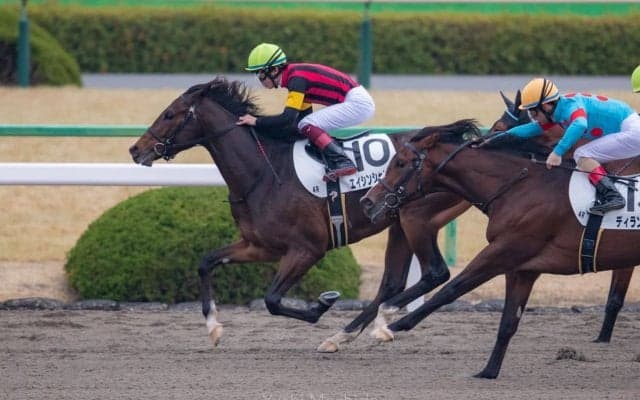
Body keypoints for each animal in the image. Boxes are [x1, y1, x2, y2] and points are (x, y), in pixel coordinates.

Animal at [128, 76, 470, 350]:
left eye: (169, 114)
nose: (135, 149)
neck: (265, 173)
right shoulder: (259, 246)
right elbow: (206, 262)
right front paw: (213, 327)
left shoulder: (307, 249)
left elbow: (272, 300)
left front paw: (322, 304)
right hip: (397, 220)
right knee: (392, 283)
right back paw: (347, 334)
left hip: (416, 217)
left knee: (435, 272)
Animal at [360, 118, 640, 378]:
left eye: (401, 162)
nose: (367, 201)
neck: (521, 188)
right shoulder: (522, 268)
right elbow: (507, 323)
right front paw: (488, 371)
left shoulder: (503, 251)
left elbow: (449, 290)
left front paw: (388, 326)